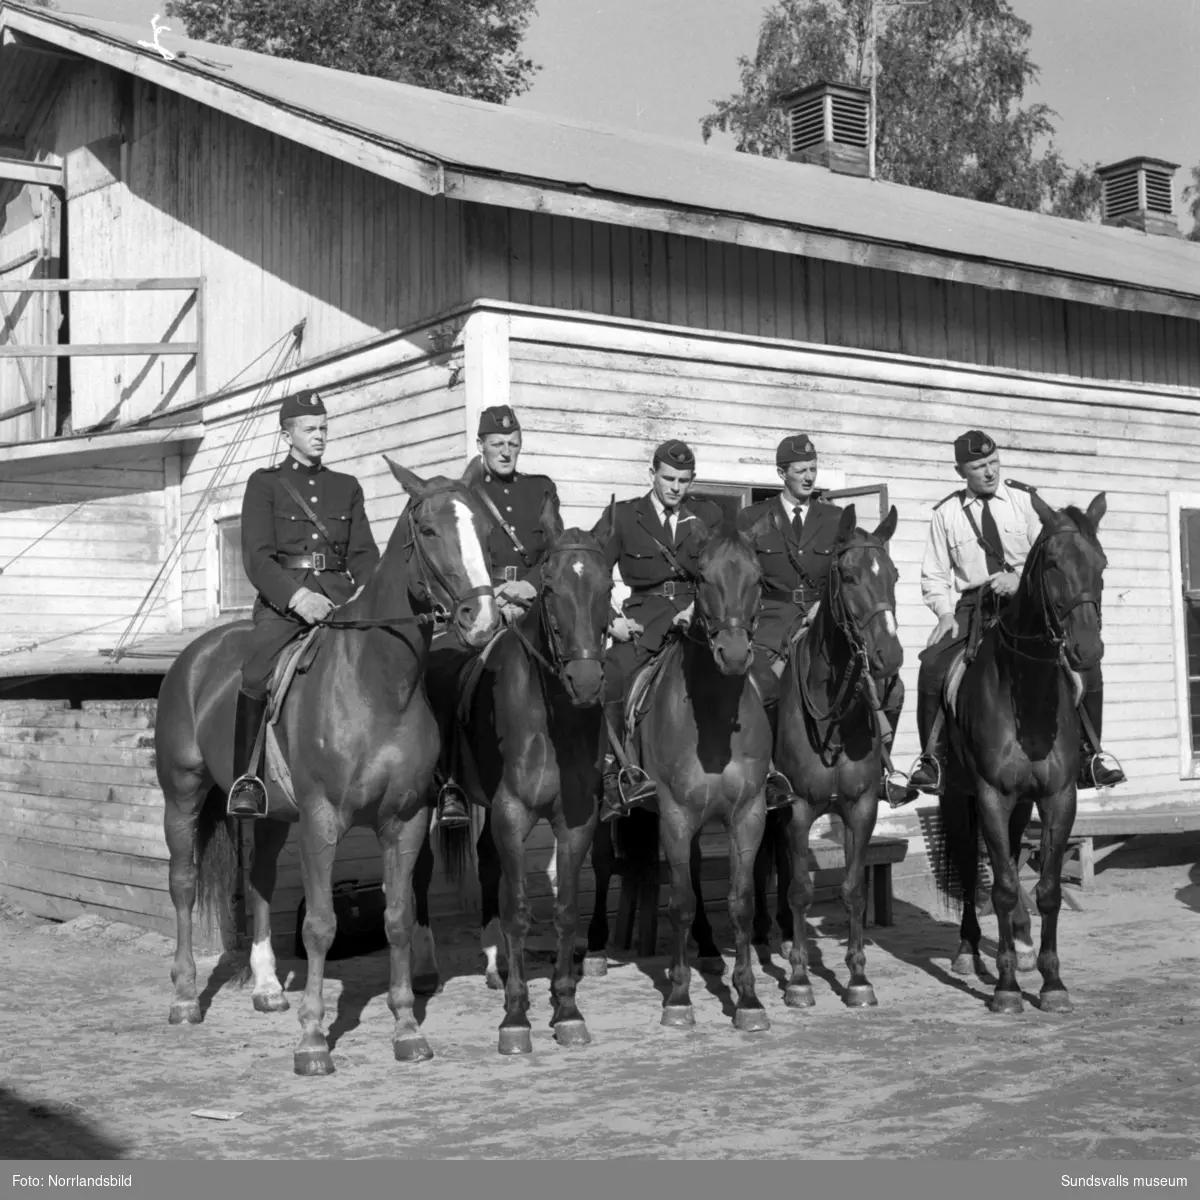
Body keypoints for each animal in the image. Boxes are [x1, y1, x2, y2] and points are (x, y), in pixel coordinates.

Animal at [156, 453, 501, 1075]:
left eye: (485, 532)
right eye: (428, 529)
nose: (482, 619)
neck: (376, 684)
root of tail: (195, 656)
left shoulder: (405, 821)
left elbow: (396, 918)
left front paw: (407, 1028)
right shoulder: (322, 821)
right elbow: (320, 925)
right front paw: (314, 1039)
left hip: (269, 815)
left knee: (261, 882)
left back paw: (268, 987)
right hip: (183, 795)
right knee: (184, 883)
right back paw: (185, 996)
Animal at [412, 511, 619, 1056]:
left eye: (607, 586)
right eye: (549, 588)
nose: (586, 682)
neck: (552, 718)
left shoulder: (576, 820)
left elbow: (565, 909)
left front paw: (566, 1009)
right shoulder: (511, 814)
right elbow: (520, 910)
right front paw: (516, 1017)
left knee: (485, 865)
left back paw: (495, 963)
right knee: (418, 875)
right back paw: (425, 969)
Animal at [585, 523, 772, 1032]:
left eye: (758, 577)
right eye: (702, 577)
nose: (733, 654)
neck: (713, 716)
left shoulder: (749, 814)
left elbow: (740, 901)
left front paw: (748, 1000)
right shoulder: (673, 814)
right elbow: (681, 901)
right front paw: (679, 998)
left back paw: (705, 950)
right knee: (603, 866)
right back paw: (594, 949)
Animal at [926, 487, 1104, 1012]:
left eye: (1101, 563)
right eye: (1053, 564)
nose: (1088, 650)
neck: (1027, 692)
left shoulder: (1058, 796)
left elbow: (1046, 888)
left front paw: (1051, 981)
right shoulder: (988, 795)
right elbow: (1002, 886)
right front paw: (1006, 987)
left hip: (1022, 804)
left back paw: (1022, 945)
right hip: (957, 797)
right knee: (971, 869)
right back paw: (970, 952)